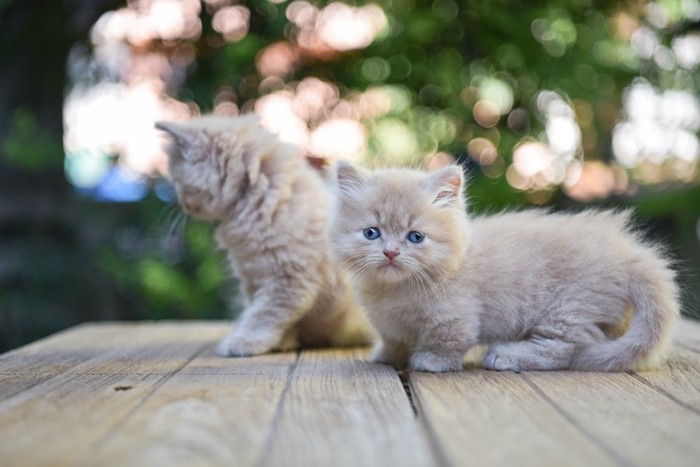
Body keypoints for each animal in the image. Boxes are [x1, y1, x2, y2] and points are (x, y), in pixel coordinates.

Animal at [156, 115, 374, 356]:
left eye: (177, 181)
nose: (180, 203)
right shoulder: (254, 277)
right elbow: (263, 312)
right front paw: (283, 342)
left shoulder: (288, 279)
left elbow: (265, 315)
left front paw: (244, 342)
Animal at [326, 163, 680, 374]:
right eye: (371, 233)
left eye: (415, 237)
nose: (390, 252)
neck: (394, 292)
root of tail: (627, 252)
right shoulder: (388, 324)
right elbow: (393, 340)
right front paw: (387, 356)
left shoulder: (456, 318)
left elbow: (447, 342)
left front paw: (431, 362)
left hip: (568, 309)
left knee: (572, 347)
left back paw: (506, 355)